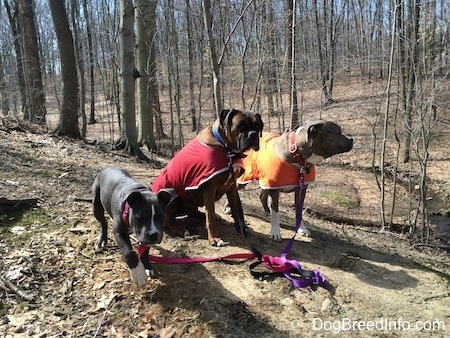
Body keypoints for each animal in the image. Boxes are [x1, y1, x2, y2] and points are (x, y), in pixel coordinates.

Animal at [151, 108, 264, 246]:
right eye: (241, 126)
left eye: (257, 126)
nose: (253, 134)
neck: (227, 149)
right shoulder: (209, 186)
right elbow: (209, 215)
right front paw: (214, 238)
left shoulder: (231, 185)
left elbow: (235, 209)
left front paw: (241, 229)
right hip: (171, 194)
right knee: (167, 220)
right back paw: (179, 229)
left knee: (193, 213)